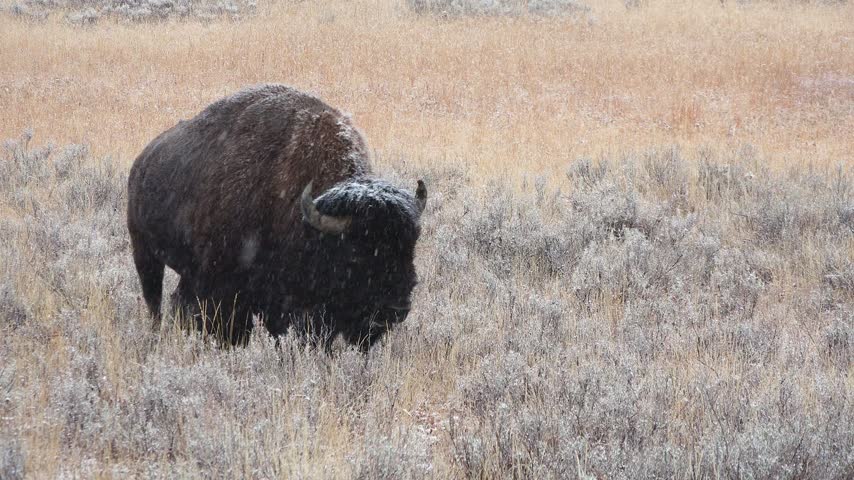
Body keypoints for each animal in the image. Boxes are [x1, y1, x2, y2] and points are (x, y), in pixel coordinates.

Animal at [127, 84, 427, 350]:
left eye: (411, 249)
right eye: (356, 254)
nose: (397, 307)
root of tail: (141, 161)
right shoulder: (225, 290)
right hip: (145, 254)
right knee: (155, 300)